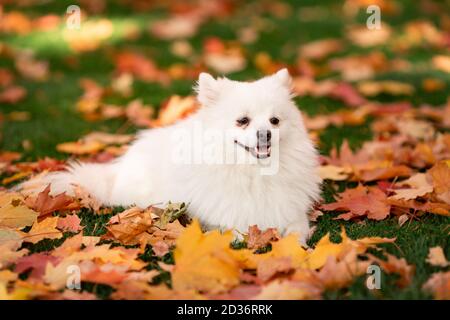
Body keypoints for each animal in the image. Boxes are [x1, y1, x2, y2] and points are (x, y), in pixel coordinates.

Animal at [29, 69, 322, 245]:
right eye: (243, 121)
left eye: (275, 121)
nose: (266, 134)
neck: (254, 173)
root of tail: (116, 172)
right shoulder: (225, 217)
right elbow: (237, 231)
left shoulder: (292, 212)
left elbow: (297, 230)